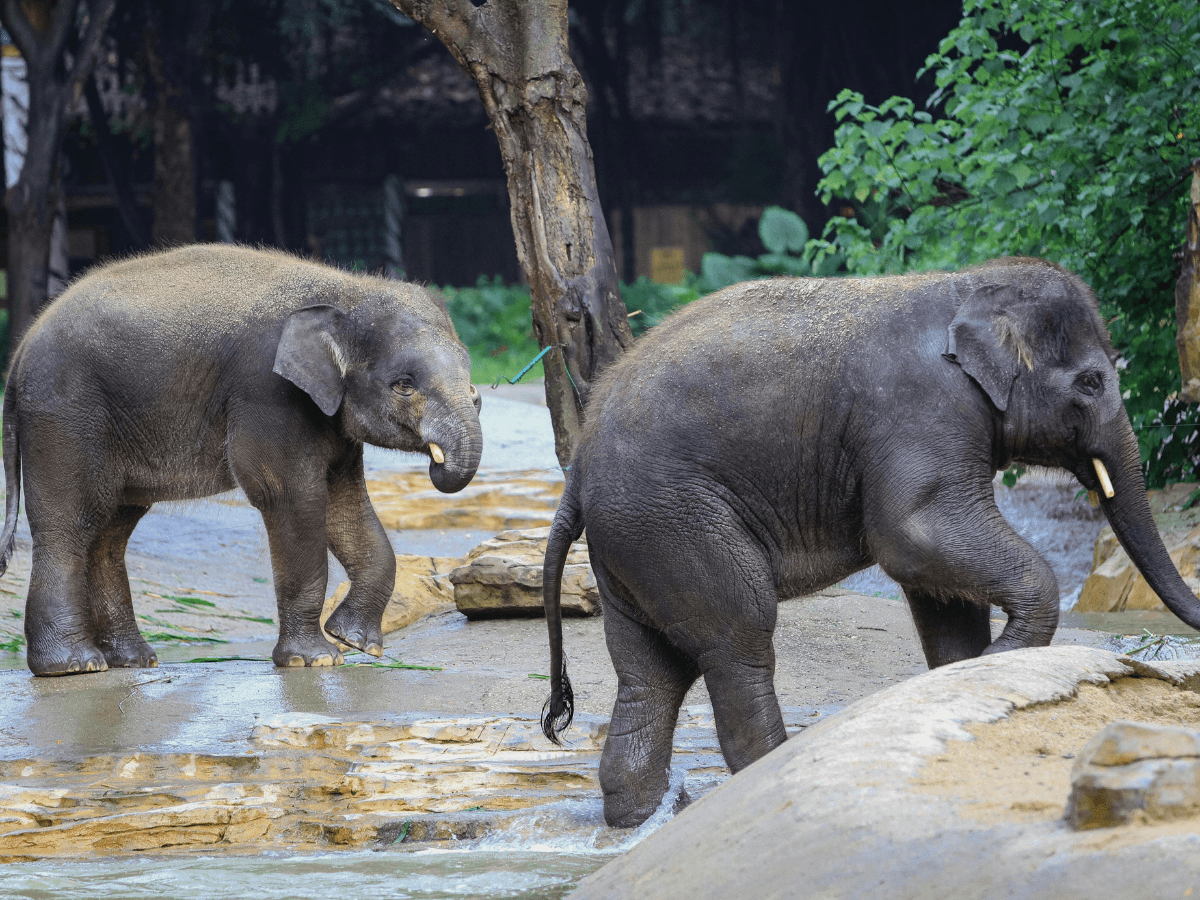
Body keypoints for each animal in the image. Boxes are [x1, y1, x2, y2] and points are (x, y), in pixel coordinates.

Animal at [0, 244, 482, 676]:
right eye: (404, 384)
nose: (437, 463)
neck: (346, 288)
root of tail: (20, 348)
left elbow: (345, 504)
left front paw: (356, 643)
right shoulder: (268, 391)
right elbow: (290, 495)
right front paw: (316, 659)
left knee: (112, 529)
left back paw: (133, 661)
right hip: (64, 416)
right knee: (71, 523)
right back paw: (73, 667)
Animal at [540, 257, 1200, 827]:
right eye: (1091, 382)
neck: (968, 283)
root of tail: (579, 468)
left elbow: (940, 590)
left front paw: (962, 676)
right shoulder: (924, 412)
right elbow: (912, 534)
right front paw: (992, 664)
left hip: (633, 541)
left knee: (649, 672)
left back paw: (638, 818)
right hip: (674, 518)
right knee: (739, 638)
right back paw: (760, 767)